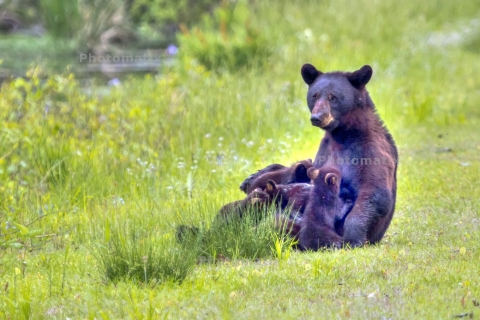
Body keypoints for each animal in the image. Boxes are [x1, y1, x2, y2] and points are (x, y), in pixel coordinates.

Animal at [300, 63, 398, 248]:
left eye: (333, 97)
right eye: (314, 95)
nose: (316, 117)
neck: (343, 135)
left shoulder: (370, 150)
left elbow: (375, 191)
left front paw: (352, 238)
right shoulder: (325, 151)